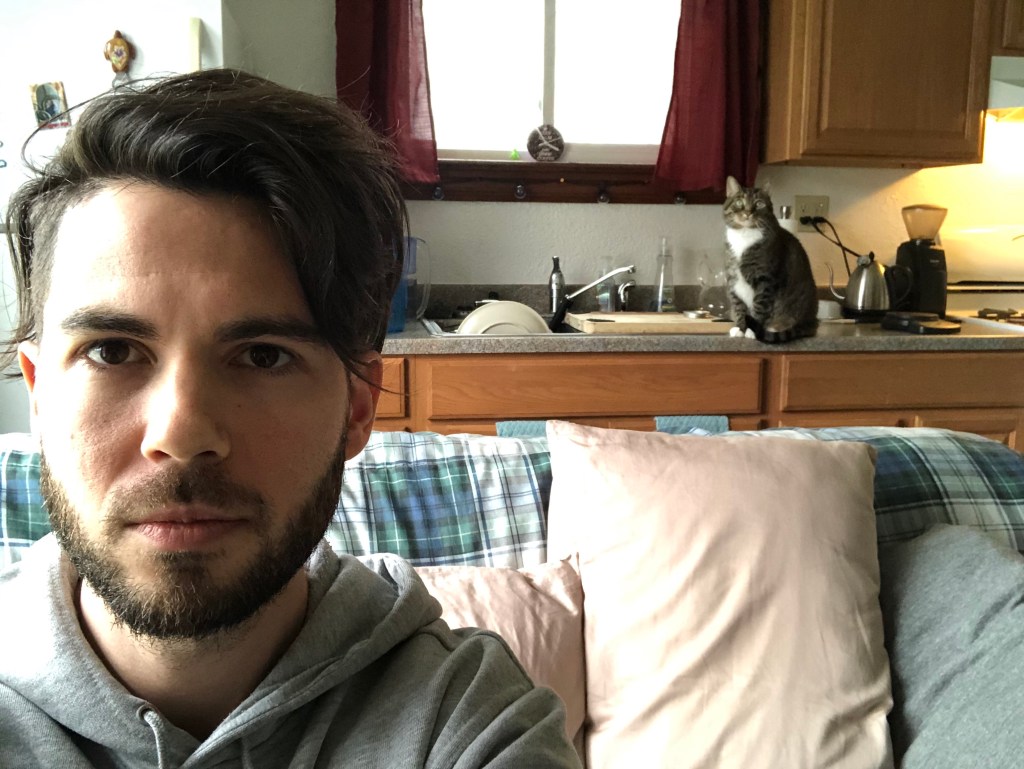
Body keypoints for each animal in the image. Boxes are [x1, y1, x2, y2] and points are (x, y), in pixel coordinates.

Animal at [722, 175, 819, 344]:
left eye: (759, 204)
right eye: (739, 202)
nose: (748, 213)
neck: (744, 235)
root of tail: (810, 322)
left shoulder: (765, 280)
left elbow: (759, 306)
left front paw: (752, 331)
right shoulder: (733, 279)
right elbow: (738, 306)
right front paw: (740, 328)